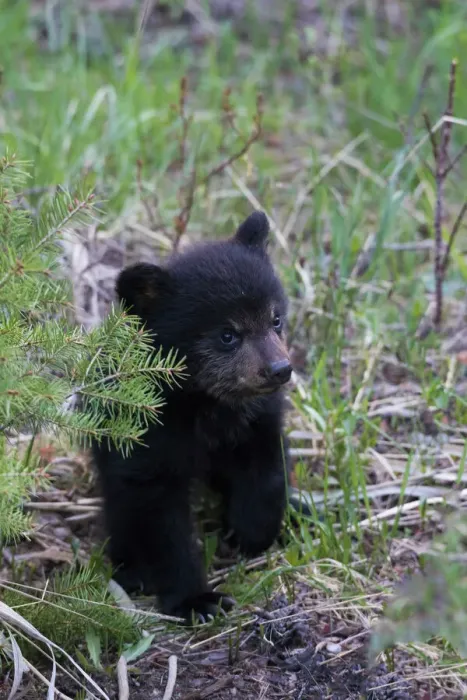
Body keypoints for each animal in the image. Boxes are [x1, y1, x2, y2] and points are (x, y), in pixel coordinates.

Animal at [91, 211, 293, 624]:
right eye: (227, 335)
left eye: (275, 319)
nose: (280, 370)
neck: (209, 403)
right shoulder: (147, 444)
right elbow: (161, 524)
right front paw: (196, 600)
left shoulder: (259, 419)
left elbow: (266, 468)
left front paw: (252, 534)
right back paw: (130, 571)